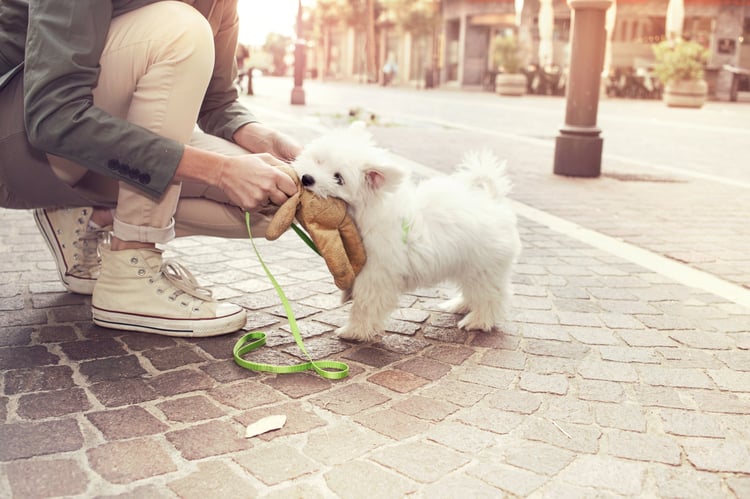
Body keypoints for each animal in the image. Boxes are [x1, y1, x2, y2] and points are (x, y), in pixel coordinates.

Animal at [294, 124, 524, 344]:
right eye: (318, 160)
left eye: (338, 178)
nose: (307, 178)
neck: (367, 211)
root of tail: (494, 201)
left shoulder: (375, 275)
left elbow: (365, 304)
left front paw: (354, 331)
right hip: (469, 266)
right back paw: (461, 305)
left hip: (484, 267)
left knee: (492, 296)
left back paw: (478, 320)